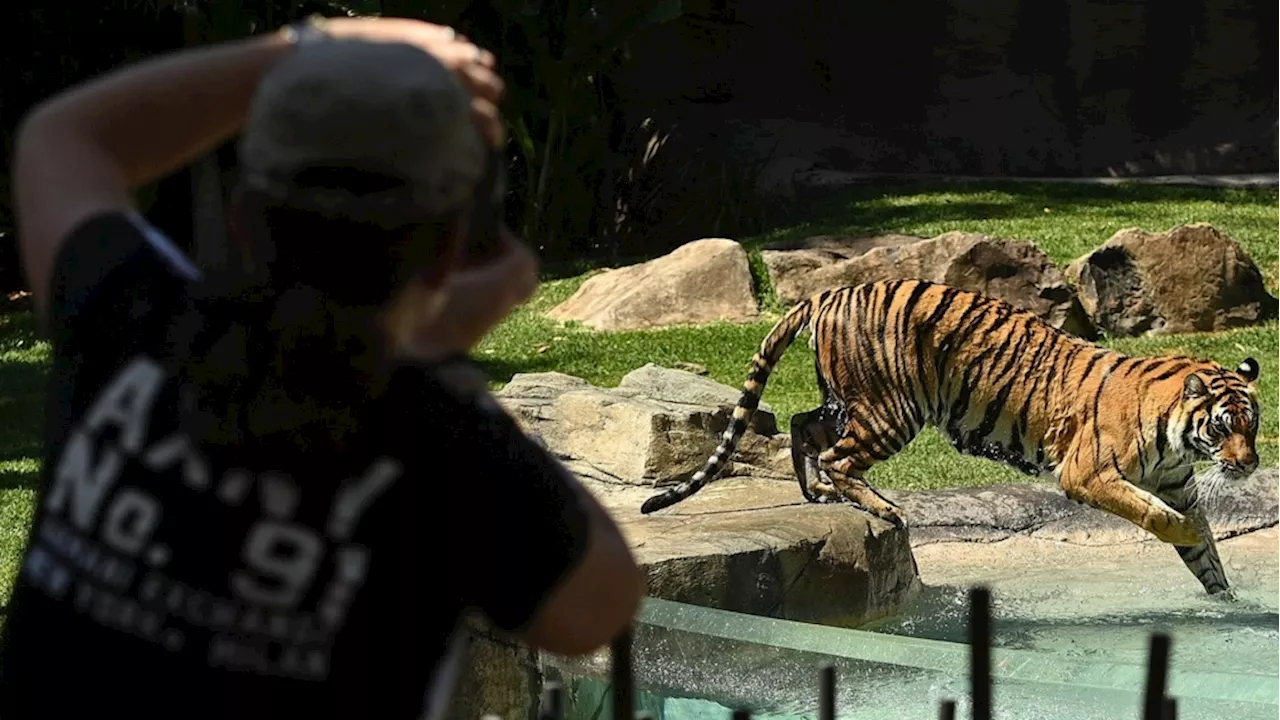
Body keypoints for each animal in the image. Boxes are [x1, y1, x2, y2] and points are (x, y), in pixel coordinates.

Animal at [640, 278, 1259, 597]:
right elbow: (1159, 516)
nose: (1249, 465)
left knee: (802, 423)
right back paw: (881, 507)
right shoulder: (1088, 474)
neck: (1179, 436)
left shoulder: (1177, 484)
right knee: (839, 456)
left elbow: (1205, 555)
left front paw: (1227, 603)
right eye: (1223, 426)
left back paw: (815, 493)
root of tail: (832, 292)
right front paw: (1184, 534)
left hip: (848, 400)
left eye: (1251, 425)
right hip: (892, 409)